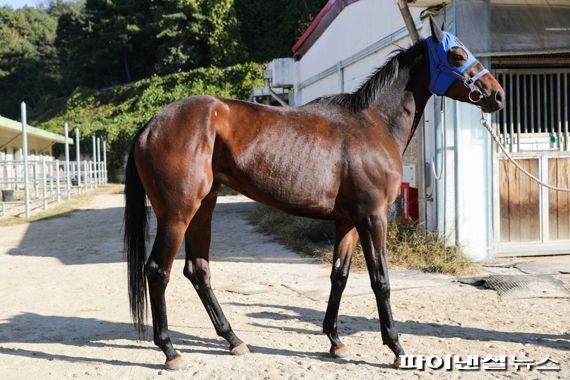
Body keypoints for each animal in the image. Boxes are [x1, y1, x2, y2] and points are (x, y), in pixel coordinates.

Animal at [123, 17, 502, 368]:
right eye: (457, 55)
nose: (497, 94)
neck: (373, 125)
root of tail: (151, 124)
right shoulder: (373, 218)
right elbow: (380, 280)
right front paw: (396, 348)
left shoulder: (348, 222)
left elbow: (340, 276)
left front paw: (335, 341)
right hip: (177, 214)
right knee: (157, 270)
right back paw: (170, 350)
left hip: (204, 208)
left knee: (198, 271)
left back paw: (233, 339)